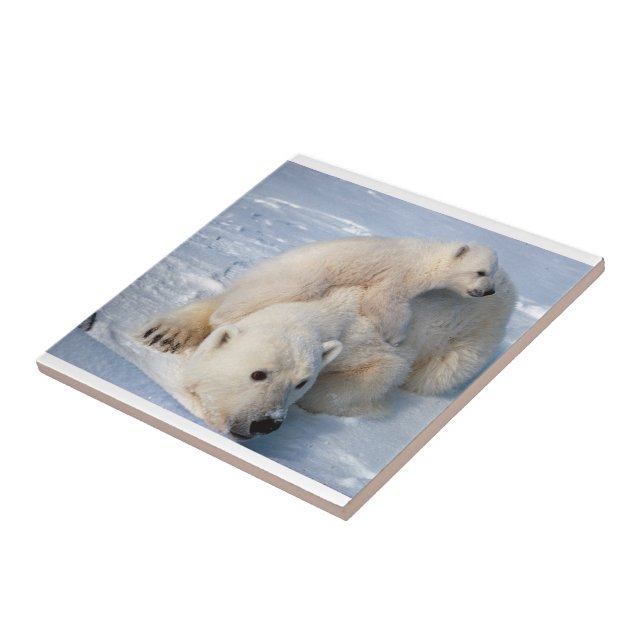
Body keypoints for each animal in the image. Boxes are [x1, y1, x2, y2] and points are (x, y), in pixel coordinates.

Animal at [140, 236, 500, 350]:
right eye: (481, 272)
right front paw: (396, 336)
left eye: (493, 272)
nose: (490, 292)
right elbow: (383, 301)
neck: (425, 257)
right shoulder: (397, 273)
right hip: (297, 276)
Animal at [178, 270, 516, 437]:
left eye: (301, 383)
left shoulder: (372, 343)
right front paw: (171, 334)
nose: (265, 423)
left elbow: (383, 371)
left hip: (474, 334)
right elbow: (221, 307)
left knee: (438, 373)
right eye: (257, 374)